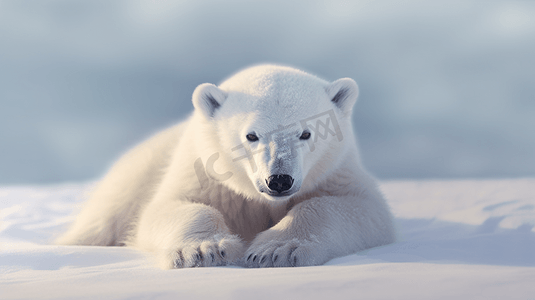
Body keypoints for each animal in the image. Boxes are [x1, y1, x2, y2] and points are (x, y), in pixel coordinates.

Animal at [56, 64, 396, 268]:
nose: (279, 180)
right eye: (251, 135)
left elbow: (355, 207)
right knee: (101, 222)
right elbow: (170, 207)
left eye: (306, 133)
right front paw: (205, 250)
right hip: (134, 176)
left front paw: (276, 250)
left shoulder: (336, 172)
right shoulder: (203, 174)